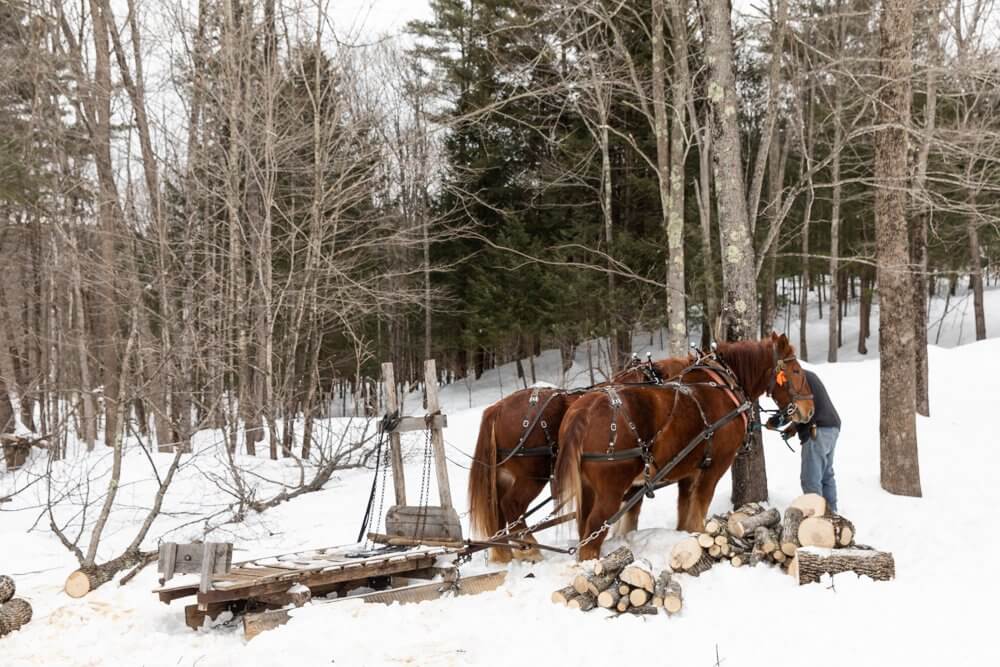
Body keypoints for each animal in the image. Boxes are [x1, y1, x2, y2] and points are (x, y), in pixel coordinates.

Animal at [468, 357, 691, 563]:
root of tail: (496, 408)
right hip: (532, 476)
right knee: (511, 504)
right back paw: (530, 549)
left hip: (503, 476)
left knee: (497, 511)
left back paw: (506, 553)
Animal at [554, 333, 815, 561]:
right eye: (796, 370)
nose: (809, 409)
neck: (725, 384)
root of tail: (582, 410)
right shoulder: (714, 467)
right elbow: (698, 513)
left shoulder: (688, 472)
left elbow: (684, 518)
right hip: (612, 491)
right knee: (592, 535)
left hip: (588, 489)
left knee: (584, 530)